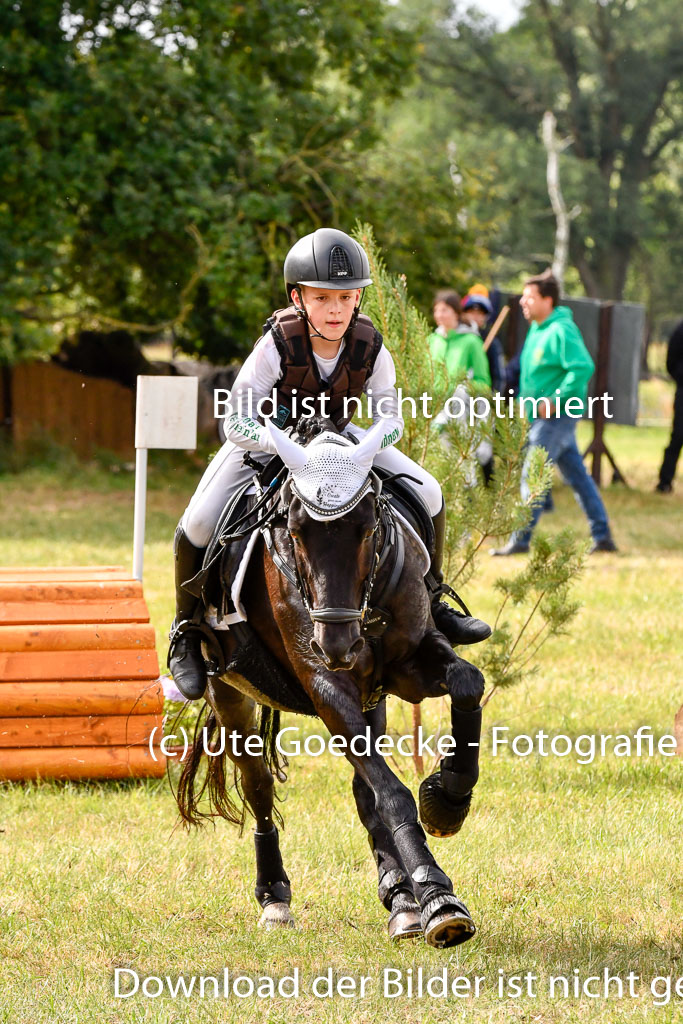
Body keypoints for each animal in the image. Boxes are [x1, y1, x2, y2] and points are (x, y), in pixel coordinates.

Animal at [176, 413, 485, 942]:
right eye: (295, 532)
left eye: (368, 528)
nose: (336, 647)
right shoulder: (325, 685)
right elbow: (392, 794)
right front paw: (438, 897)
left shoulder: (410, 665)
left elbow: (468, 682)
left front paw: (447, 801)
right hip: (230, 694)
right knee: (259, 787)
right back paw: (275, 896)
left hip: (370, 700)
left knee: (365, 790)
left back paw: (400, 899)